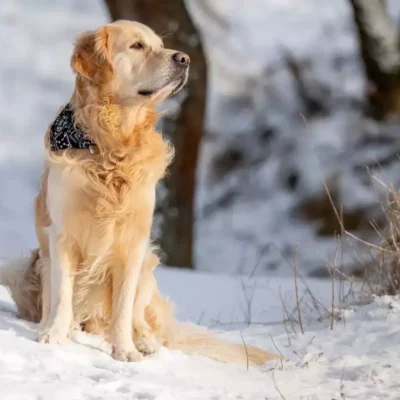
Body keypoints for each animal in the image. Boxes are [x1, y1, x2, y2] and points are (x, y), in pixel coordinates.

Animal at [0, 21, 276, 366]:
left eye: (159, 44)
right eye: (137, 46)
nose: (184, 58)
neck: (111, 143)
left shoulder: (133, 242)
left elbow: (123, 307)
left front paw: (125, 350)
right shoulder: (63, 235)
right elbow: (61, 294)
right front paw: (53, 335)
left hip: (148, 261)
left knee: (140, 316)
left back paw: (144, 341)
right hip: (18, 266)